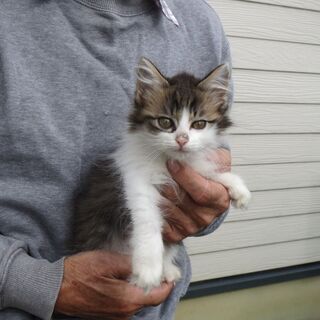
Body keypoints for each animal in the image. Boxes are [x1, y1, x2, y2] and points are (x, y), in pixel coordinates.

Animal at [71, 57, 251, 292]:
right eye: (165, 122)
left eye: (199, 124)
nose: (182, 139)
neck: (168, 160)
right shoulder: (135, 178)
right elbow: (148, 220)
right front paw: (148, 269)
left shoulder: (192, 165)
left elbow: (207, 171)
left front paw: (238, 189)